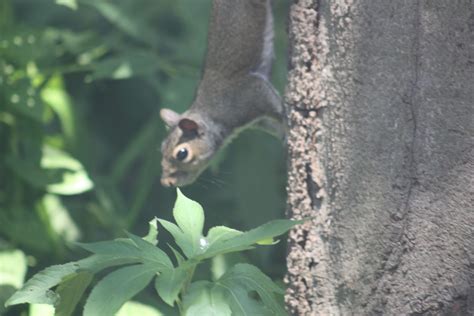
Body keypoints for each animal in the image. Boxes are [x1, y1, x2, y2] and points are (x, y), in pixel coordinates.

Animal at [159, 0, 286, 186]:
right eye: (162, 147)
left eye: (182, 154)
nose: (166, 182)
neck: (213, 113)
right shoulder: (258, 120)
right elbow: (273, 125)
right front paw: (285, 135)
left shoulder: (252, 94)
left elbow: (278, 109)